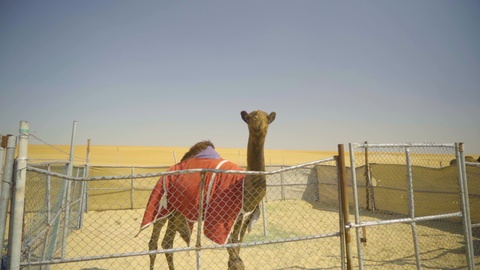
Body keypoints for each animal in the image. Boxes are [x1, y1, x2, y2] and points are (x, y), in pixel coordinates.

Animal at [142, 110, 276, 270]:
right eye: (252, 117)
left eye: (267, 118)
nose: (260, 127)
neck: (242, 184)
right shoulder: (219, 217)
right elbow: (235, 260)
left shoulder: (240, 216)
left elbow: (235, 254)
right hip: (162, 206)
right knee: (154, 243)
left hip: (178, 213)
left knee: (167, 243)